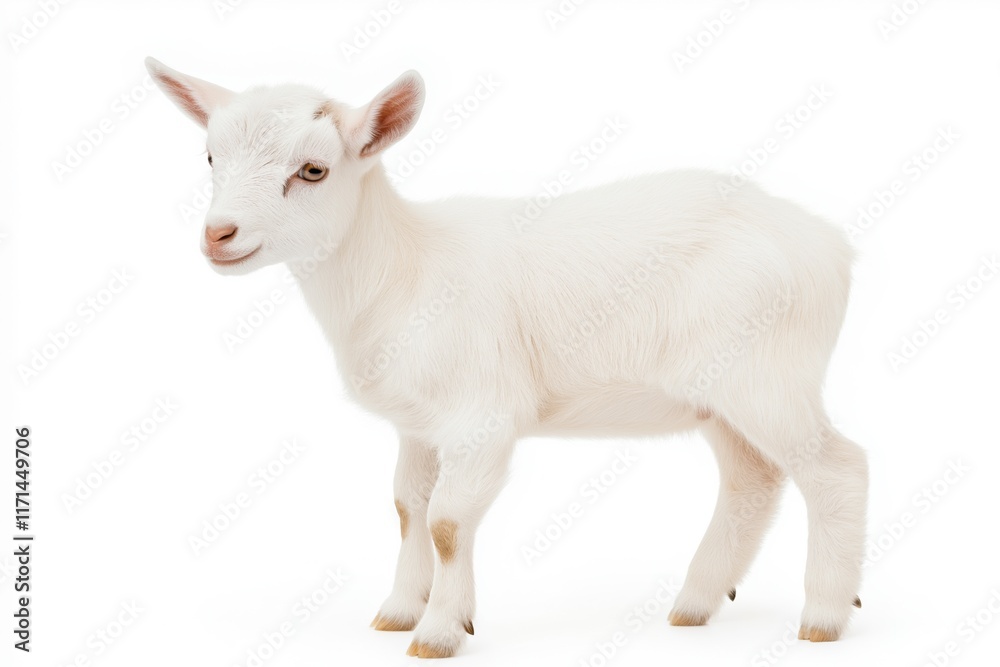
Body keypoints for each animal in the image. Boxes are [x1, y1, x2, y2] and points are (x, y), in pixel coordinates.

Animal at [146, 58, 868, 658]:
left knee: (837, 468)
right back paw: (695, 603)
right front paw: (399, 610)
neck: (402, 268)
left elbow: (446, 521)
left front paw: (440, 630)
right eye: (210, 156)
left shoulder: (482, 415)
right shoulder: (417, 423)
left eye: (313, 170)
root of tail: (830, 246)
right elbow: (408, 507)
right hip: (718, 395)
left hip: (770, 375)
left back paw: (824, 616)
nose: (218, 235)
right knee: (753, 480)